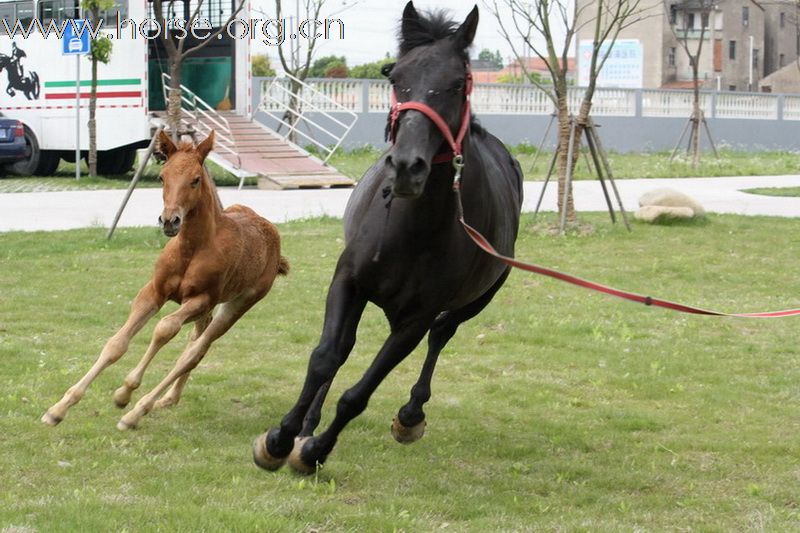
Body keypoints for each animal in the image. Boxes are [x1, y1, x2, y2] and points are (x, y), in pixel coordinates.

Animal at [40, 131, 290, 430]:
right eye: (162, 177)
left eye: (196, 178)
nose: (170, 220)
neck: (191, 249)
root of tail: (272, 237)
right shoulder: (153, 291)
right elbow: (116, 344)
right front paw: (58, 408)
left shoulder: (200, 299)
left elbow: (164, 329)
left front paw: (125, 392)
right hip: (208, 310)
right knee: (196, 344)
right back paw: (168, 398)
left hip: (237, 303)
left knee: (194, 352)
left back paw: (138, 411)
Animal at [253, 1, 520, 474]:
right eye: (395, 77)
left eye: (457, 83)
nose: (406, 167)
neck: (413, 230)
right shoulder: (348, 281)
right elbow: (325, 357)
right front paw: (282, 438)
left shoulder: (416, 318)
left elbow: (360, 393)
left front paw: (316, 451)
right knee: (343, 349)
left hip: (476, 300)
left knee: (442, 335)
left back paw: (410, 416)